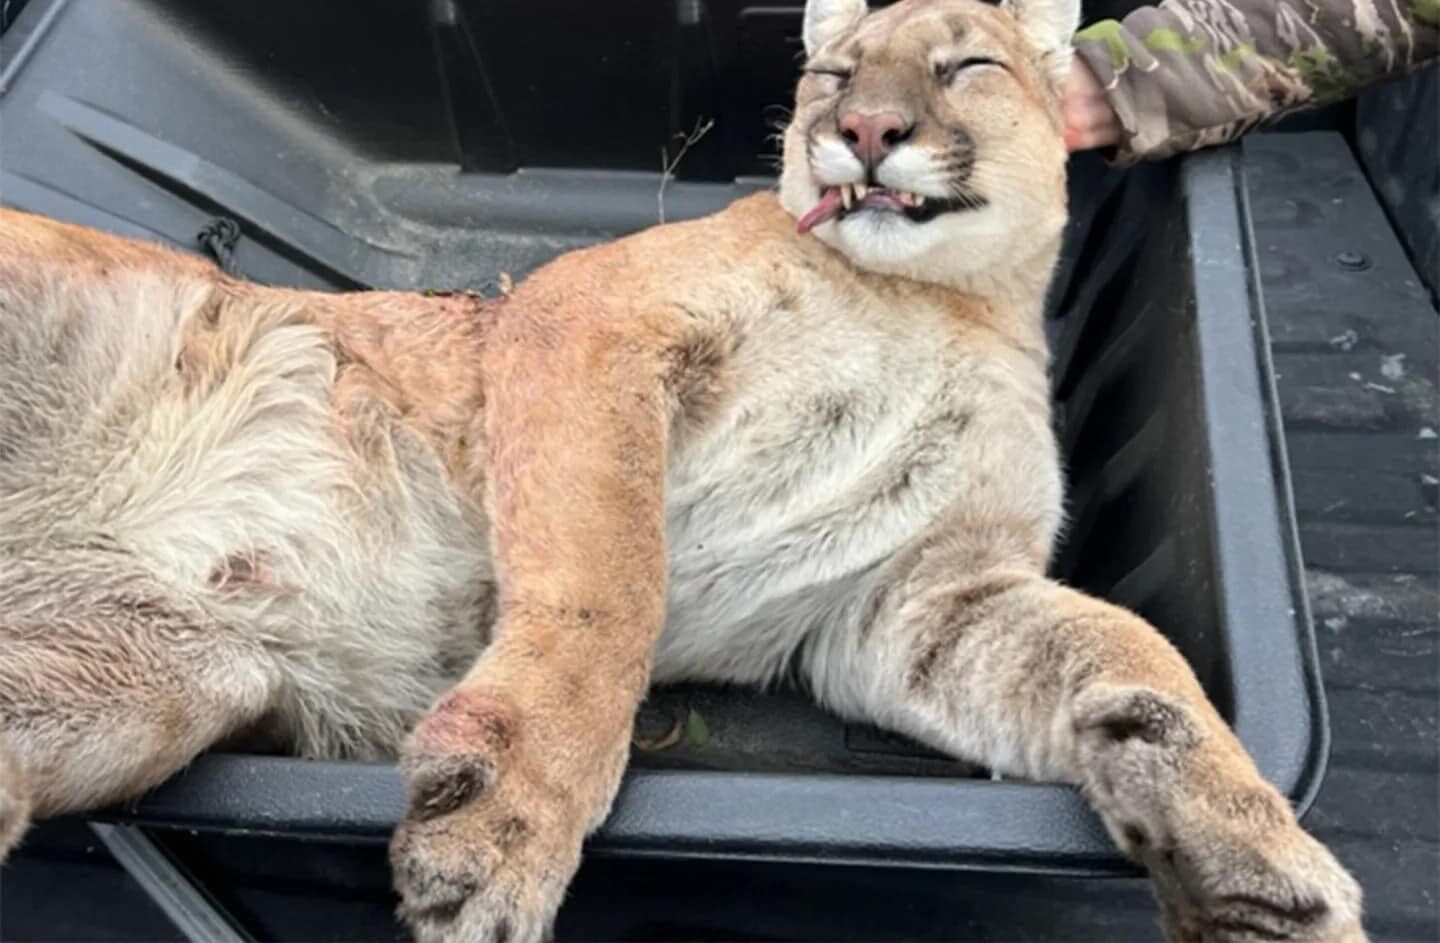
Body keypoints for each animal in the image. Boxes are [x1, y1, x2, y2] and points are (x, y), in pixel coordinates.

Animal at [0, 0, 1363, 940]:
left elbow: (1137, 660)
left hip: (163, 672)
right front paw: (506, 822)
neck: (944, 299)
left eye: (964, 66)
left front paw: (1263, 872)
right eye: (835, 73)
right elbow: (613, 586)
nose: (862, 131)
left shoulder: (923, 598)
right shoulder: (591, 321)